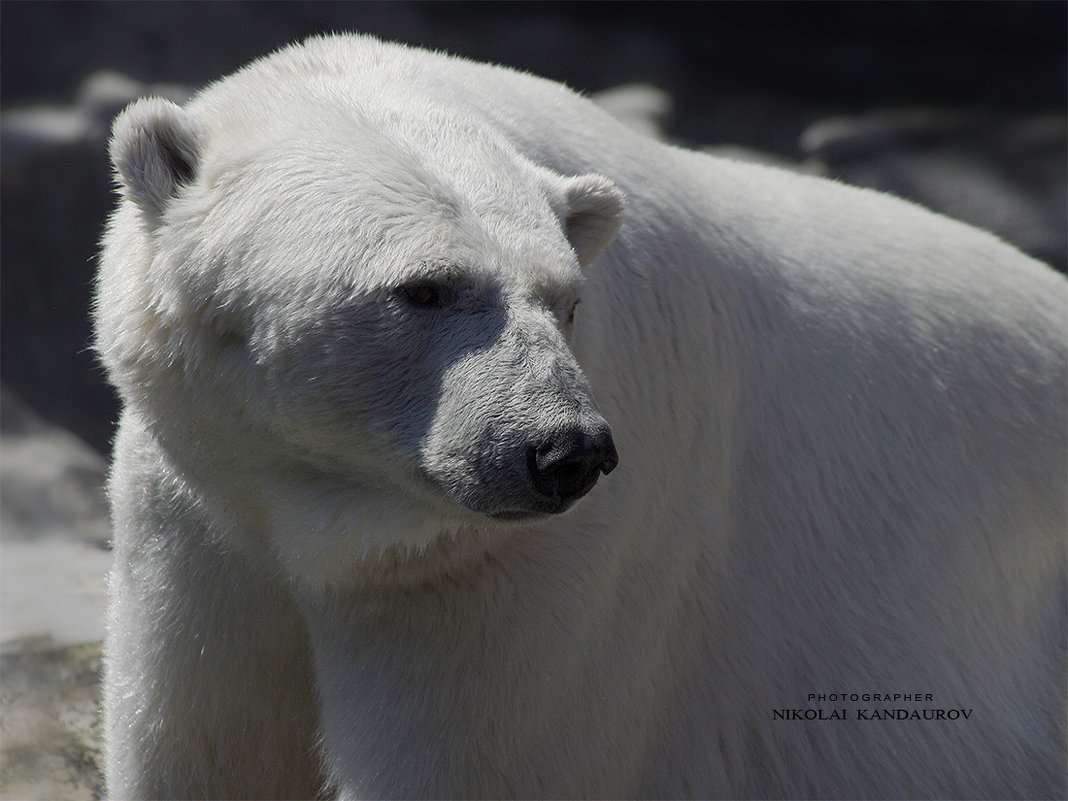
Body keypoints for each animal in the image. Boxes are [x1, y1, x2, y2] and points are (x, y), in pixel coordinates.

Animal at [96, 32, 1063, 801]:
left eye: (564, 302)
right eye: (424, 288)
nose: (565, 451)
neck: (327, 512)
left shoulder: (521, 578)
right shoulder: (202, 525)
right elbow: (205, 746)